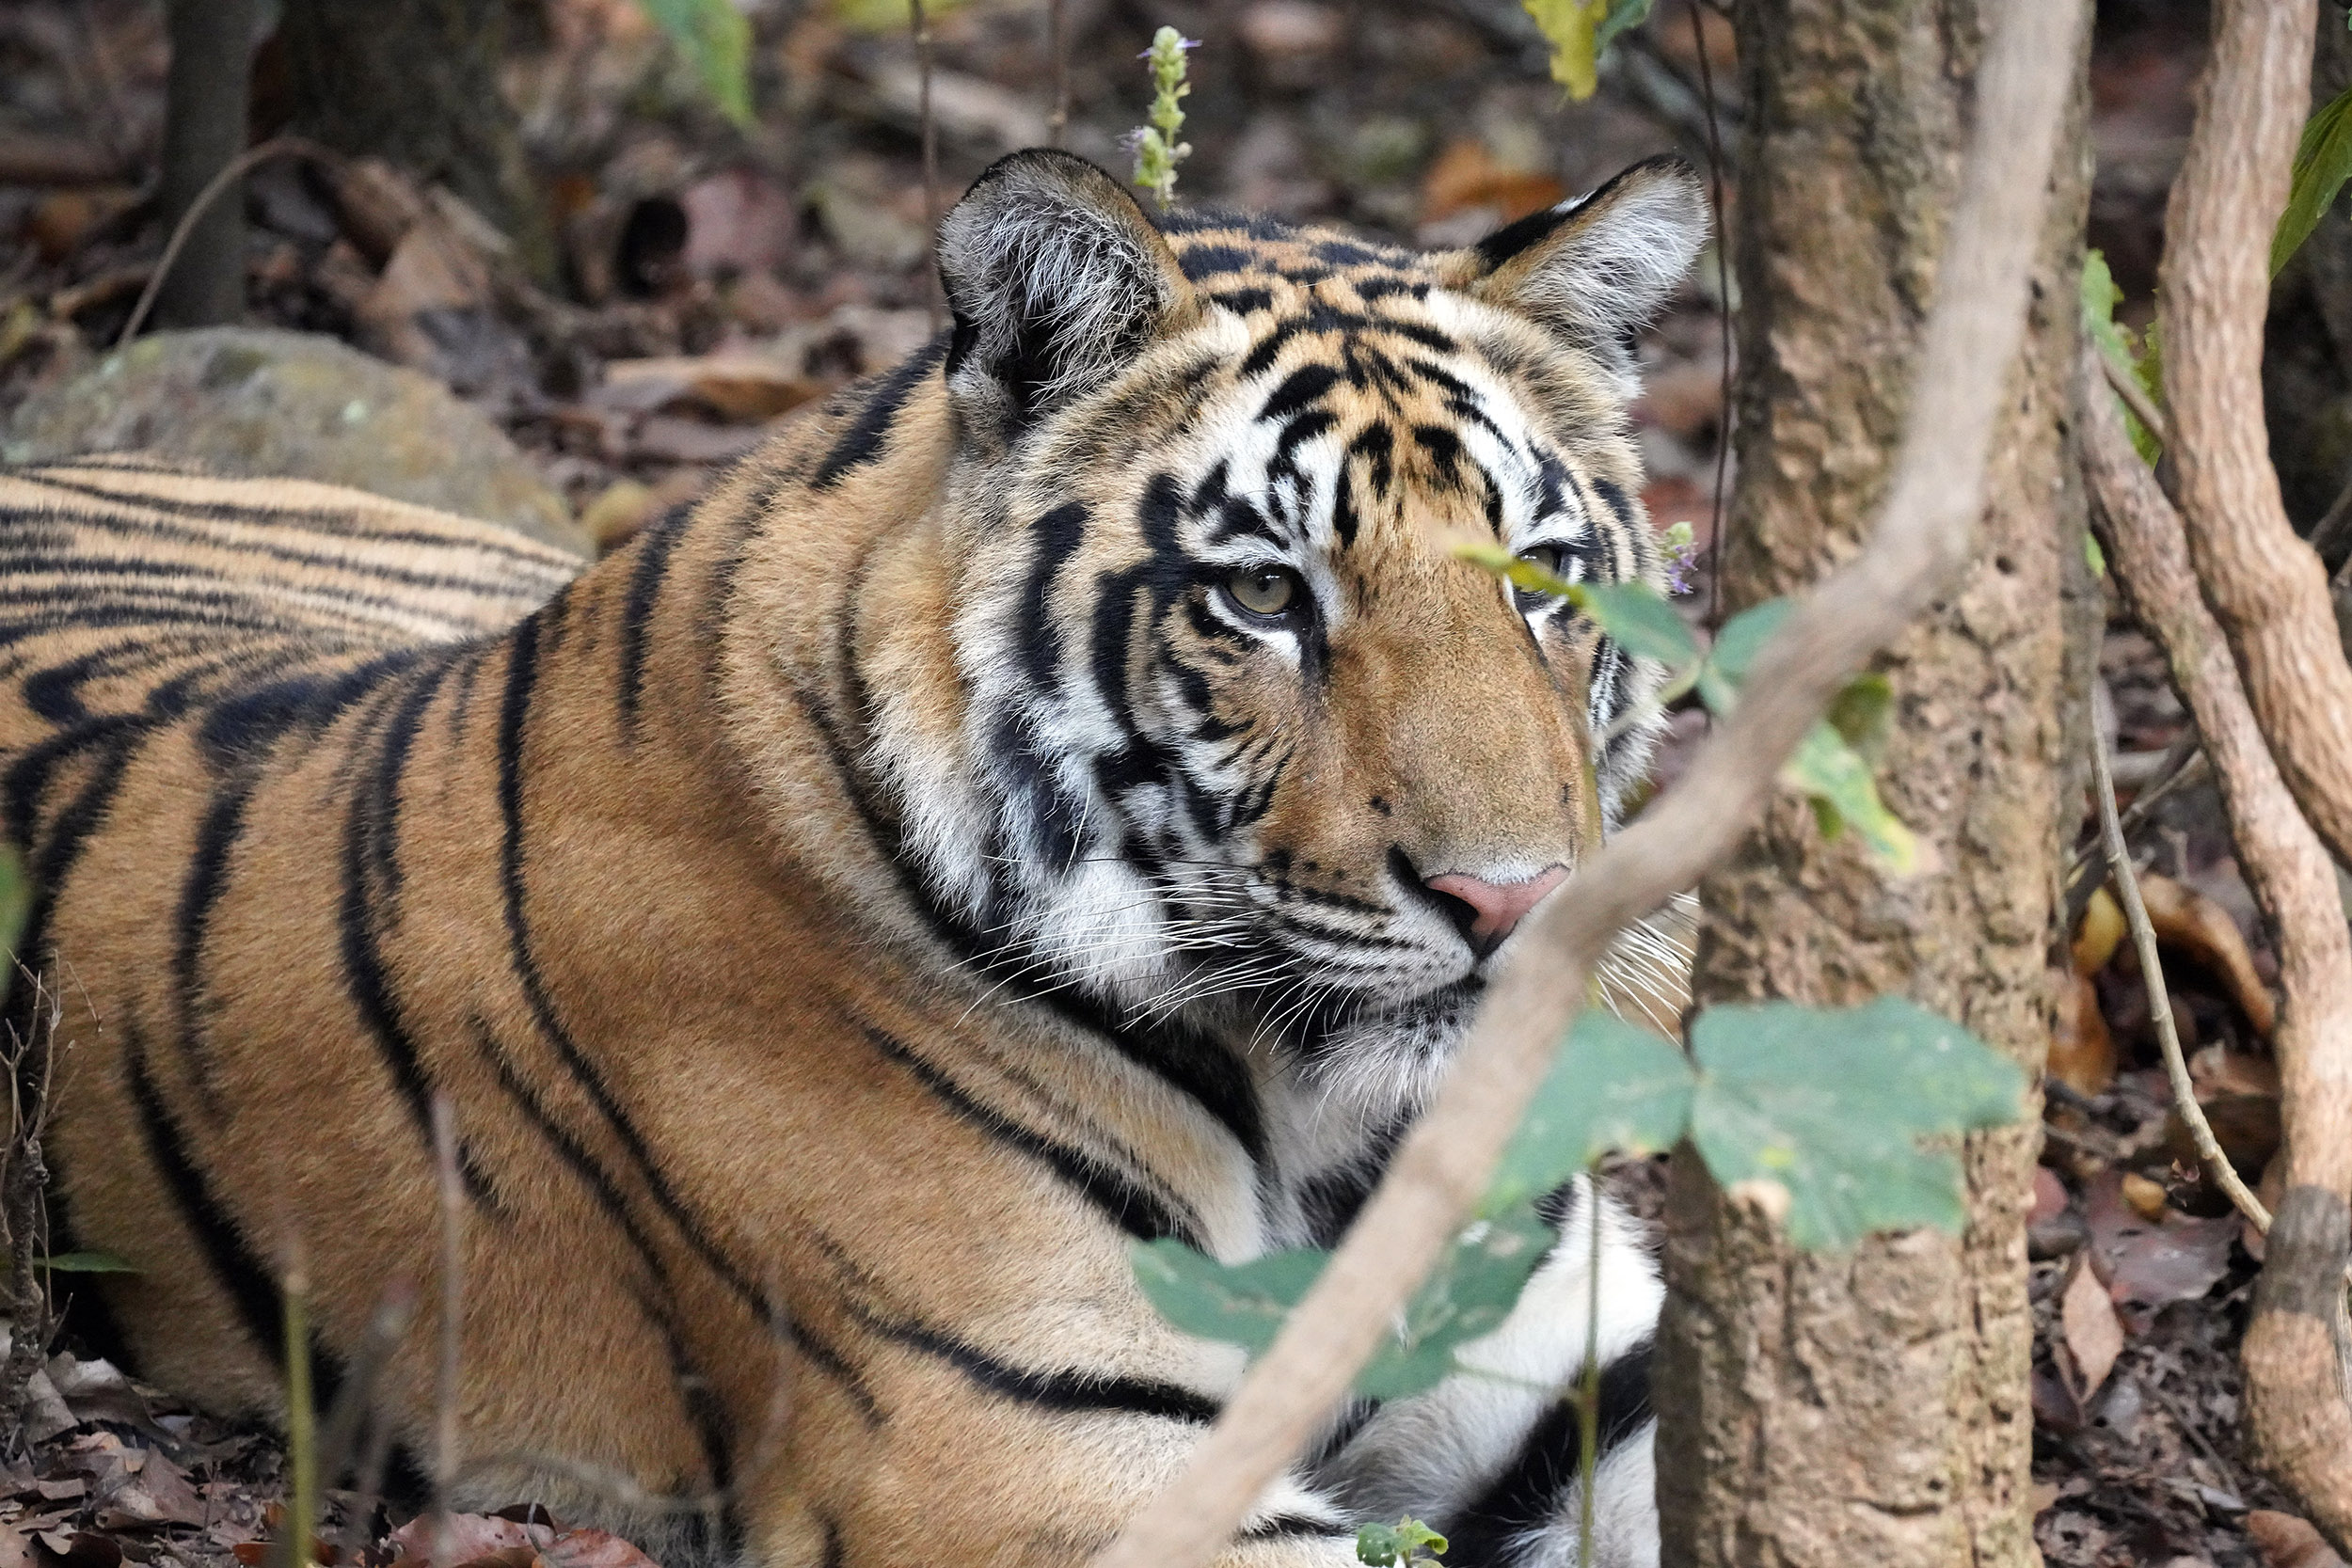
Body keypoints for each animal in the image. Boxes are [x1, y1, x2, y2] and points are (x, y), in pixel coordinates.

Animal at [0, 148, 1704, 1568]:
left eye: (1545, 577)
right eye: (1267, 594)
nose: (1513, 900)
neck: (1312, 1116)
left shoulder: (1581, 1365)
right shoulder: (1038, 1450)